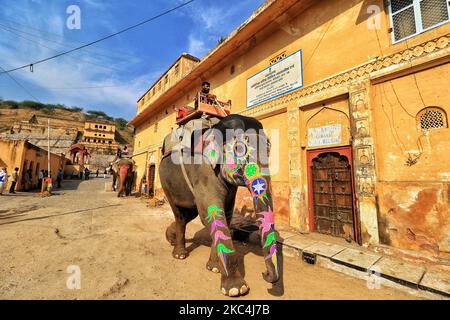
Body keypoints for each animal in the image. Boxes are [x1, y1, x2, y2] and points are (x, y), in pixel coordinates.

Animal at [158, 114, 278, 296]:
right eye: (239, 150)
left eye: (269, 151)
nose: (264, 274)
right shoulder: (204, 172)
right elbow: (212, 214)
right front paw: (236, 289)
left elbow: (225, 216)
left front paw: (213, 268)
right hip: (166, 183)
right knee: (180, 214)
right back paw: (179, 255)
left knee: (189, 214)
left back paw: (170, 238)